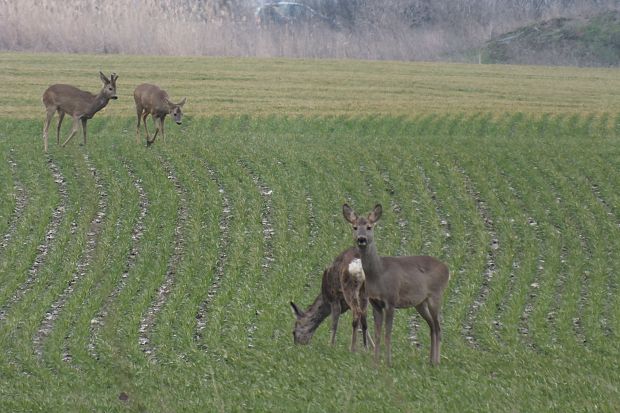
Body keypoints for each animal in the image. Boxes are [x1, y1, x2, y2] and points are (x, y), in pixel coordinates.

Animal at [342, 203, 448, 364]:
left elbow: (388, 332)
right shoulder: (375, 303)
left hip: (436, 295)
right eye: (354, 227)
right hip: (420, 303)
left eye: (369, 227)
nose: (361, 239)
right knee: (432, 327)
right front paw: (375, 362)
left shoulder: (391, 300)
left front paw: (388, 361)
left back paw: (437, 362)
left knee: (438, 327)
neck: (378, 274)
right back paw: (430, 361)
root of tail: (447, 269)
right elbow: (378, 333)